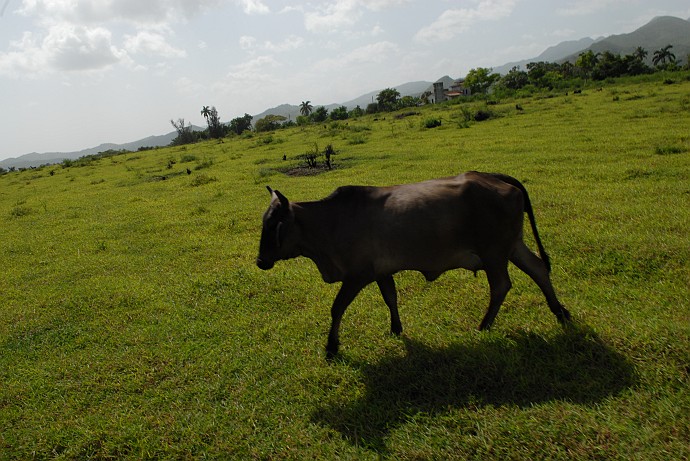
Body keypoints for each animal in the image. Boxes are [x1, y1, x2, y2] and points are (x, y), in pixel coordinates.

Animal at [255, 171, 568, 358]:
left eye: (273, 225)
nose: (260, 261)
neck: (329, 222)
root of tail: (493, 177)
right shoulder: (381, 272)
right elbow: (390, 298)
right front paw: (396, 328)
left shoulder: (357, 276)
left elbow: (337, 308)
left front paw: (332, 347)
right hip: (512, 246)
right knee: (538, 268)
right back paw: (560, 312)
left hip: (494, 253)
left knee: (502, 285)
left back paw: (484, 325)